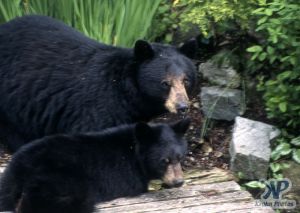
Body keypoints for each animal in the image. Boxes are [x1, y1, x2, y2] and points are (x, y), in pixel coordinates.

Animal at [0, 118, 190, 213]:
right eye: (164, 161)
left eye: (180, 157)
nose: (179, 182)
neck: (134, 150)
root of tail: (20, 169)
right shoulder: (131, 177)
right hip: (61, 180)